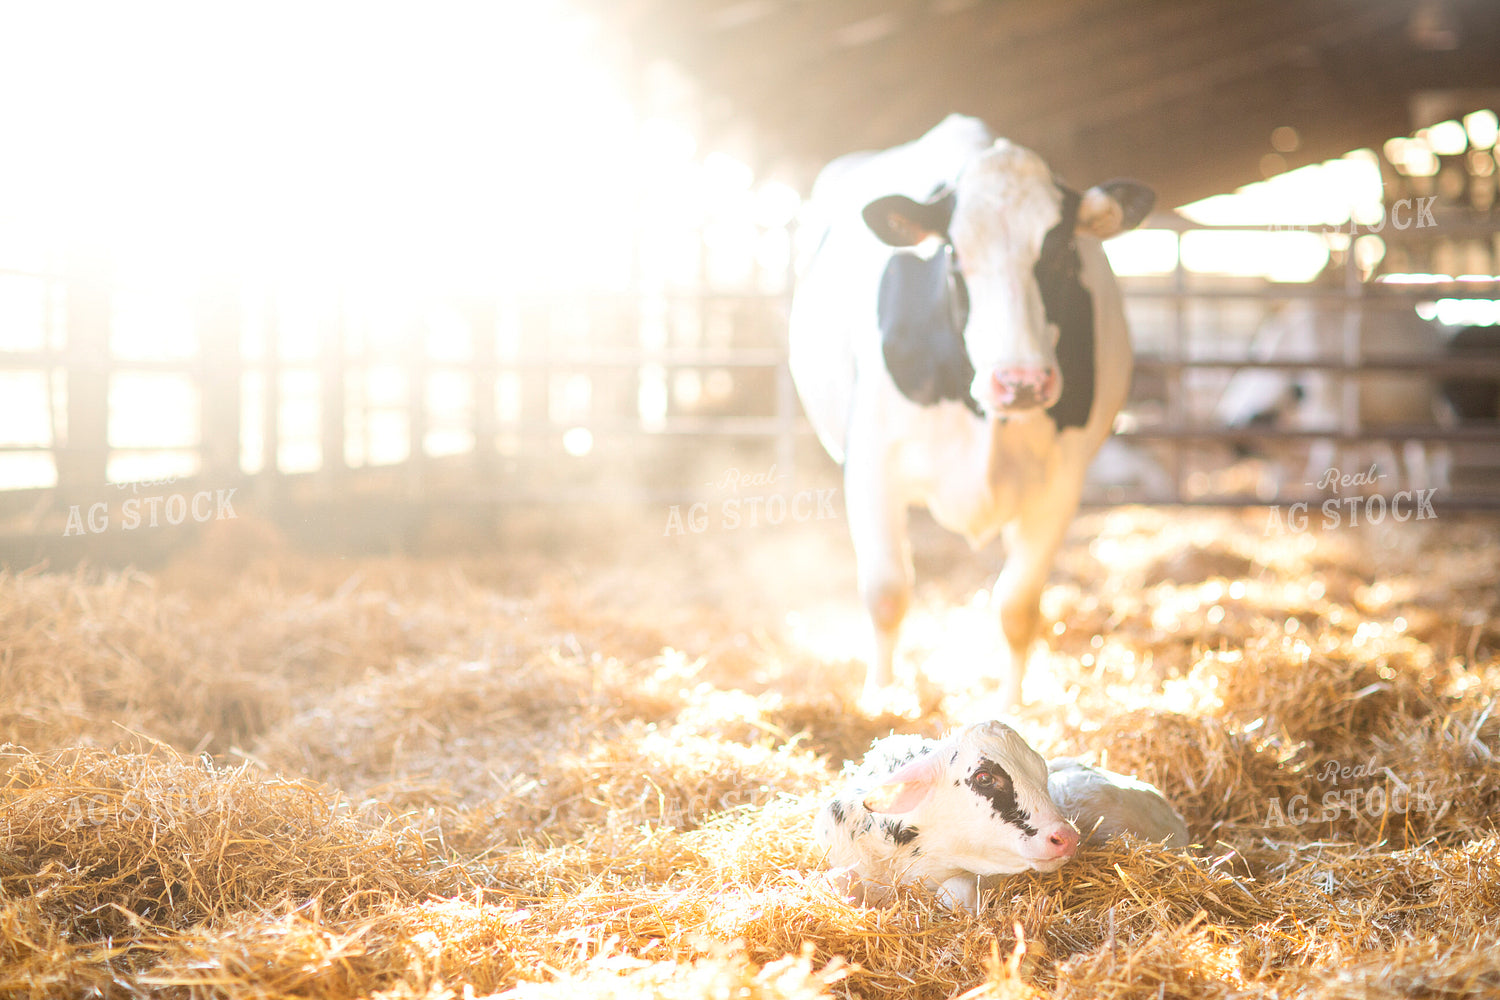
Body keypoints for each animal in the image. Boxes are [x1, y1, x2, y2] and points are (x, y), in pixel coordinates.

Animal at [788, 115, 1153, 706]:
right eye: (955, 256)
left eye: (1060, 254)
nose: (1020, 381)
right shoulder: (870, 466)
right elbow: (887, 593)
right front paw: (880, 698)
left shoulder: (1061, 484)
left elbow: (1017, 607)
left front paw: (1010, 707)